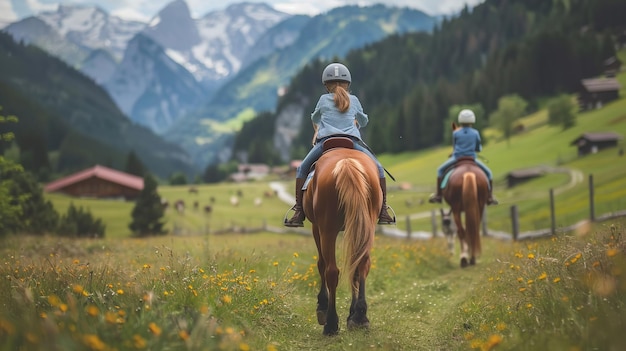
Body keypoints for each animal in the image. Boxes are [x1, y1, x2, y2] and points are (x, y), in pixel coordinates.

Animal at [302, 138, 382, 336]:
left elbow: (321, 264)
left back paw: (330, 322)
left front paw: (322, 306)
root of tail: (347, 163)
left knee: (331, 270)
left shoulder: (317, 228)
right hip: (367, 226)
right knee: (361, 265)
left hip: (327, 229)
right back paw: (360, 317)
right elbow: (354, 268)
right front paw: (353, 314)